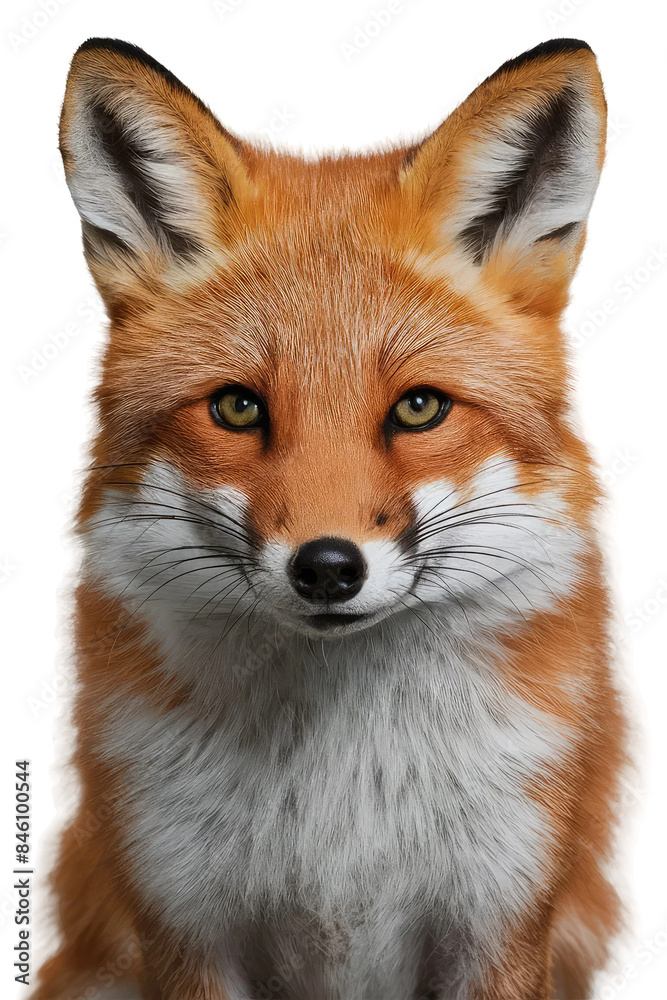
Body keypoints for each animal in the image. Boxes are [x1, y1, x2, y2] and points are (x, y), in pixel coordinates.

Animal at [32, 35, 627, 1000]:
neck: (341, 804)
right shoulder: (183, 921)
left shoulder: (497, 917)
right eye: (237, 408)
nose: (326, 567)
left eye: (418, 408)